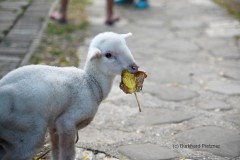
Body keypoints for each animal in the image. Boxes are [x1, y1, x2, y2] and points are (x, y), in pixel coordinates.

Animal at [0, 31, 139, 159]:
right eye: (108, 55)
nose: (134, 67)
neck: (91, 83)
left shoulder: (54, 125)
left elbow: (56, 151)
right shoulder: (66, 122)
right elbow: (68, 153)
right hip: (27, 130)